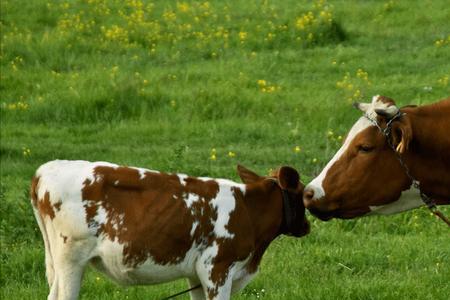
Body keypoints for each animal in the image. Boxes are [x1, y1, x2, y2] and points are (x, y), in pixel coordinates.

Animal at [29, 161, 308, 300]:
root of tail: (45, 170)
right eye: (303, 194)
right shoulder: (217, 269)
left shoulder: (197, 275)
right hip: (71, 259)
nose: (307, 226)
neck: (248, 210)